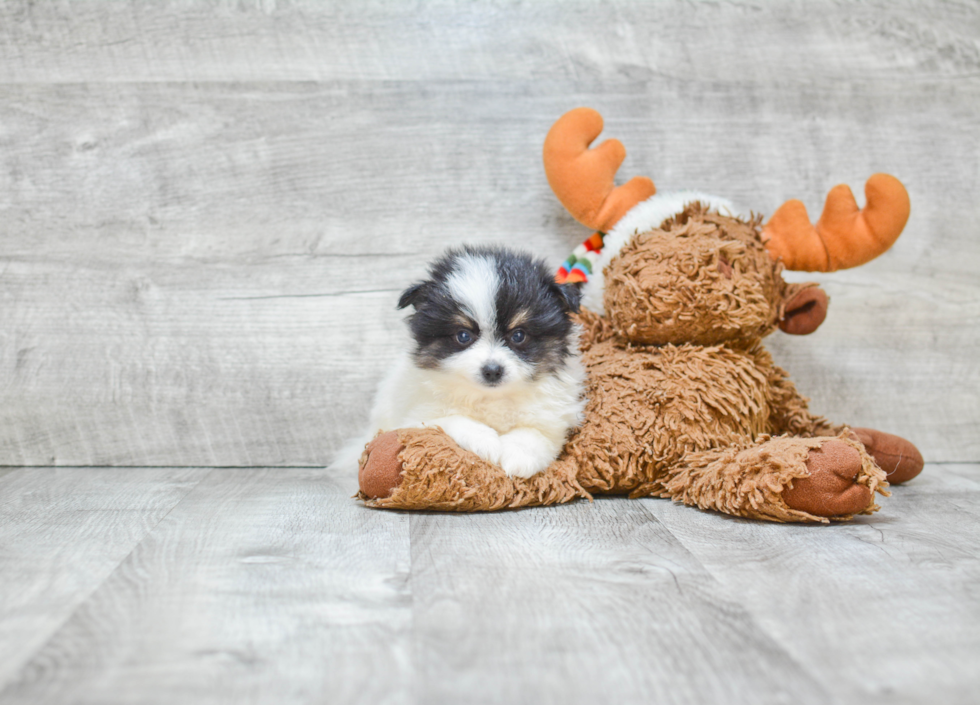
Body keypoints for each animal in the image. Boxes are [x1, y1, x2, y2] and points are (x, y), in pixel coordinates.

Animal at [338, 243, 580, 478]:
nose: (492, 370)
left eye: (519, 335)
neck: (490, 398)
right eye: (463, 336)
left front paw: (517, 458)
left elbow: (535, 434)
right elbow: (451, 420)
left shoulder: (551, 419)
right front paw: (485, 440)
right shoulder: (415, 418)